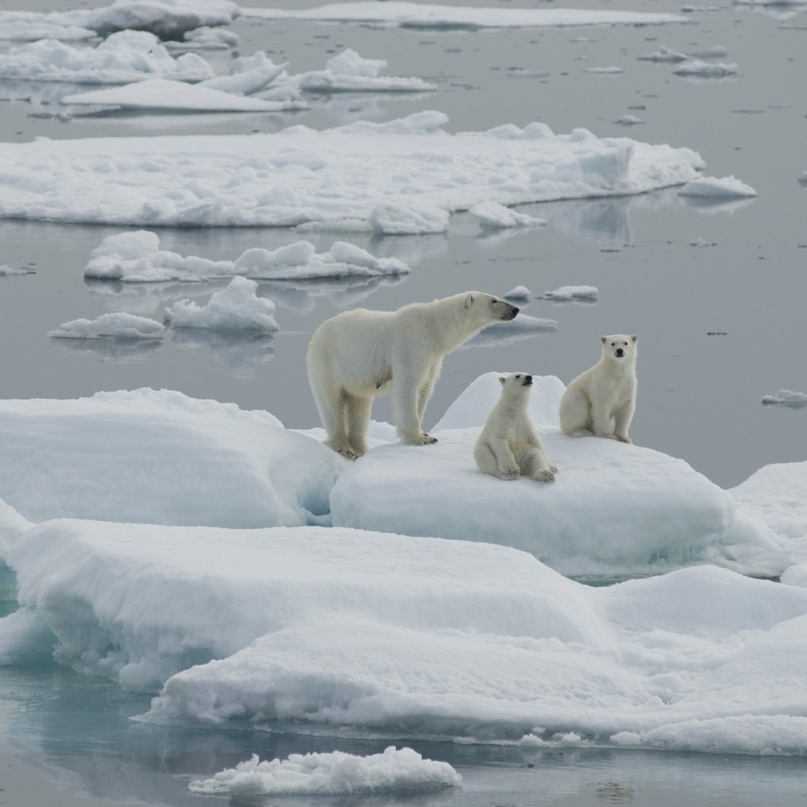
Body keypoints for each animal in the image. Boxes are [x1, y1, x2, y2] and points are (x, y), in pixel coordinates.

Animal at [306, 290, 520, 458]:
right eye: (493, 300)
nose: (515, 309)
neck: (434, 328)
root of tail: (317, 333)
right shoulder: (411, 344)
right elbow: (408, 386)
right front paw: (419, 438)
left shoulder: (433, 358)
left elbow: (425, 389)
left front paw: (425, 433)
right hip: (327, 362)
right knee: (331, 402)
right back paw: (343, 446)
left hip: (356, 378)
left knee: (359, 405)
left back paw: (359, 448)